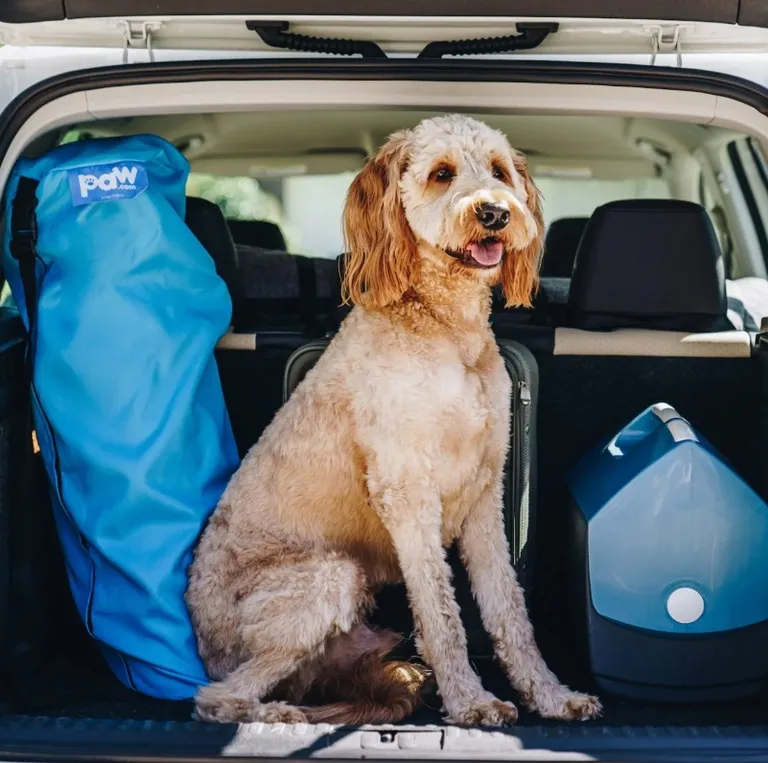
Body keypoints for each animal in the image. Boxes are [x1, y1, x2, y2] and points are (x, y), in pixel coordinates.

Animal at [186, 113, 600, 728]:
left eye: (499, 171)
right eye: (442, 174)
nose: (495, 212)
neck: (447, 329)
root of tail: (202, 640)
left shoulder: (485, 492)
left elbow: (509, 611)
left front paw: (549, 695)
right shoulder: (407, 492)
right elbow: (442, 614)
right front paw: (471, 701)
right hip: (327, 578)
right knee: (216, 697)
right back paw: (278, 714)